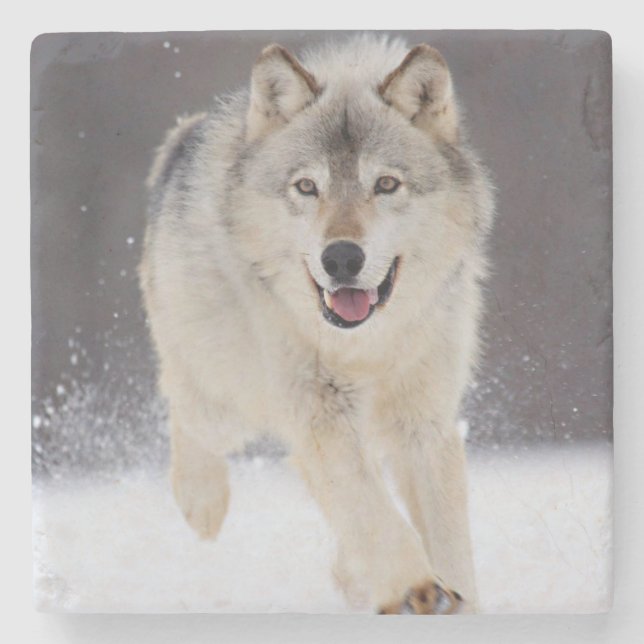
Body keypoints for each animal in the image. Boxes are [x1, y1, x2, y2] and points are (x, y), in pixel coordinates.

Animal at [139, 35, 494, 614]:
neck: (366, 347)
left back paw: (354, 579)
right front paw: (416, 588)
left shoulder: (425, 422)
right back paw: (202, 501)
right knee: (183, 407)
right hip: (227, 399)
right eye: (307, 186)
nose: (342, 258)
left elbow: (444, 538)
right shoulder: (319, 411)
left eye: (386, 183)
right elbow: (370, 506)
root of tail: (184, 137)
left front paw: (448, 595)